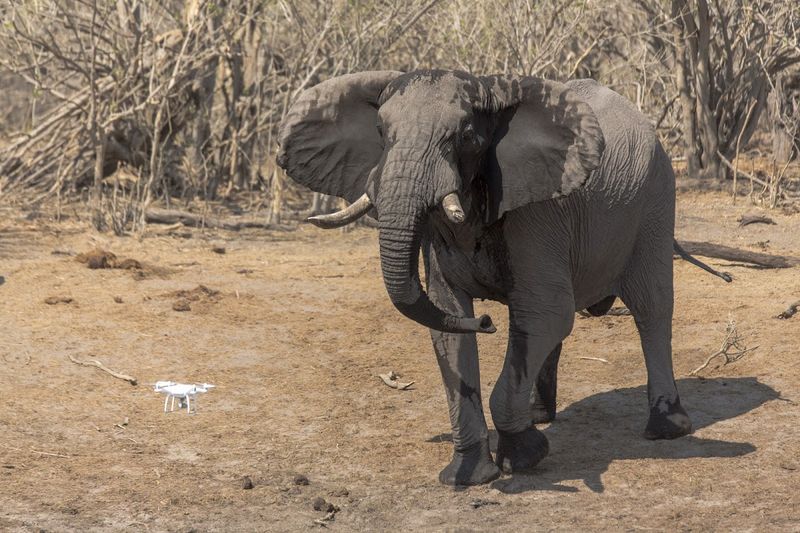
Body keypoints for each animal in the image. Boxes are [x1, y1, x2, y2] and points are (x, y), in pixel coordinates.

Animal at [276, 70, 730, 486]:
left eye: (466, 138)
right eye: (380, 133)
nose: (487, 320)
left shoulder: (538, 212)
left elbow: (547, 312)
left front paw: (527, 456)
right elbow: (449, 322)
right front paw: (467, 476)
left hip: (656, 198)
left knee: (650, 306)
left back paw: (666, 428)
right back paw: (539, 414)